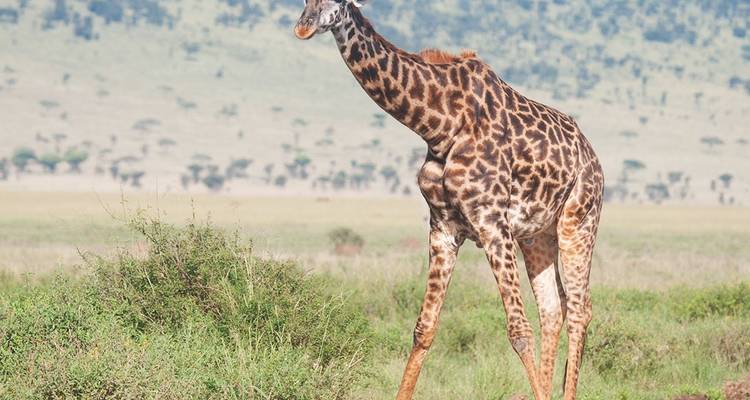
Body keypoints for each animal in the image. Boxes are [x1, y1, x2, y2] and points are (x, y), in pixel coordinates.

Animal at [294, 1, 604, 399]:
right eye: (303, 1)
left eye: (340, 3)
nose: (303, 28)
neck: (438, 125)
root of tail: (592, 155)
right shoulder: (443, 227)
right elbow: (424, 328)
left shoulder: (491, 222)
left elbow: (518, 331)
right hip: (536, 236)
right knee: (553, 307)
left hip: (578, 221)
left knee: (580, 308)